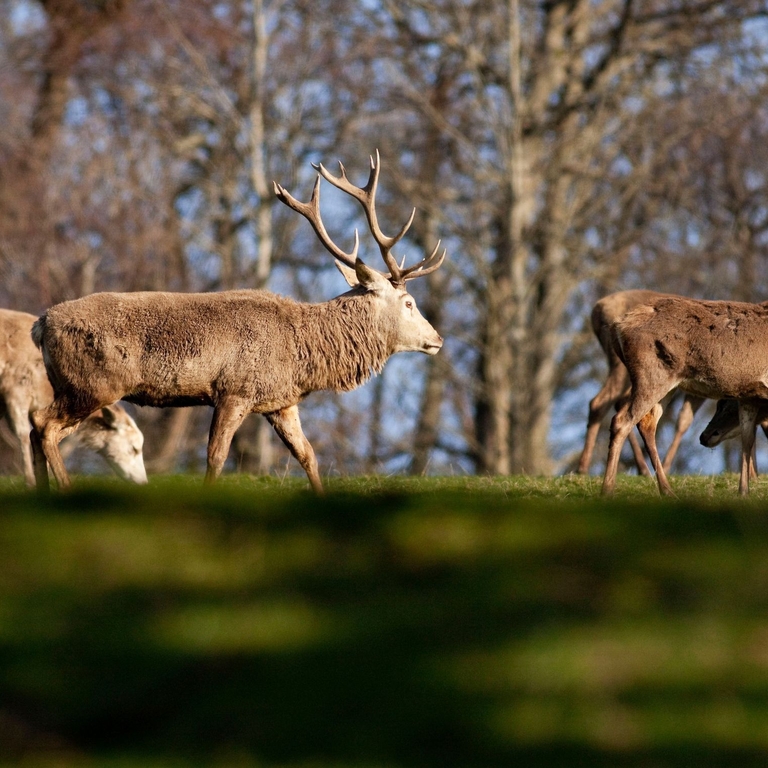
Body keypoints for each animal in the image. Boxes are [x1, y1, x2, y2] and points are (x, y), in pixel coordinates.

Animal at [29, 151, 445, 494]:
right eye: (409, 302)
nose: (438, 339)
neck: (301, 355)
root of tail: (42, 323)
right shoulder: (235, 389)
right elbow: (216, 456)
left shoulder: (280, 402)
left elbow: (307, 455)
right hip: (94, 383)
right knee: (44, 424)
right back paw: (63, 490)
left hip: (73, 384)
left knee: (36, 428)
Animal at [578, 290, 705, 475]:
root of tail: (597, 311)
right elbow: (684, 421)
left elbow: (683, 420)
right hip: (622, 367)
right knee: (601, 403)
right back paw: (584, 467)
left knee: (619, 405)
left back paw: (641, 468)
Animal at [601, 296, 768, 496]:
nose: (706, 436)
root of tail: (618, 326)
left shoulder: (748, 397)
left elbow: (747, 438)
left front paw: (743, 492)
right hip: (652, 375)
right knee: (622, 421)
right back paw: (607, 490)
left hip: (664, 383)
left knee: (646, 422)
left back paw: (667, 491)